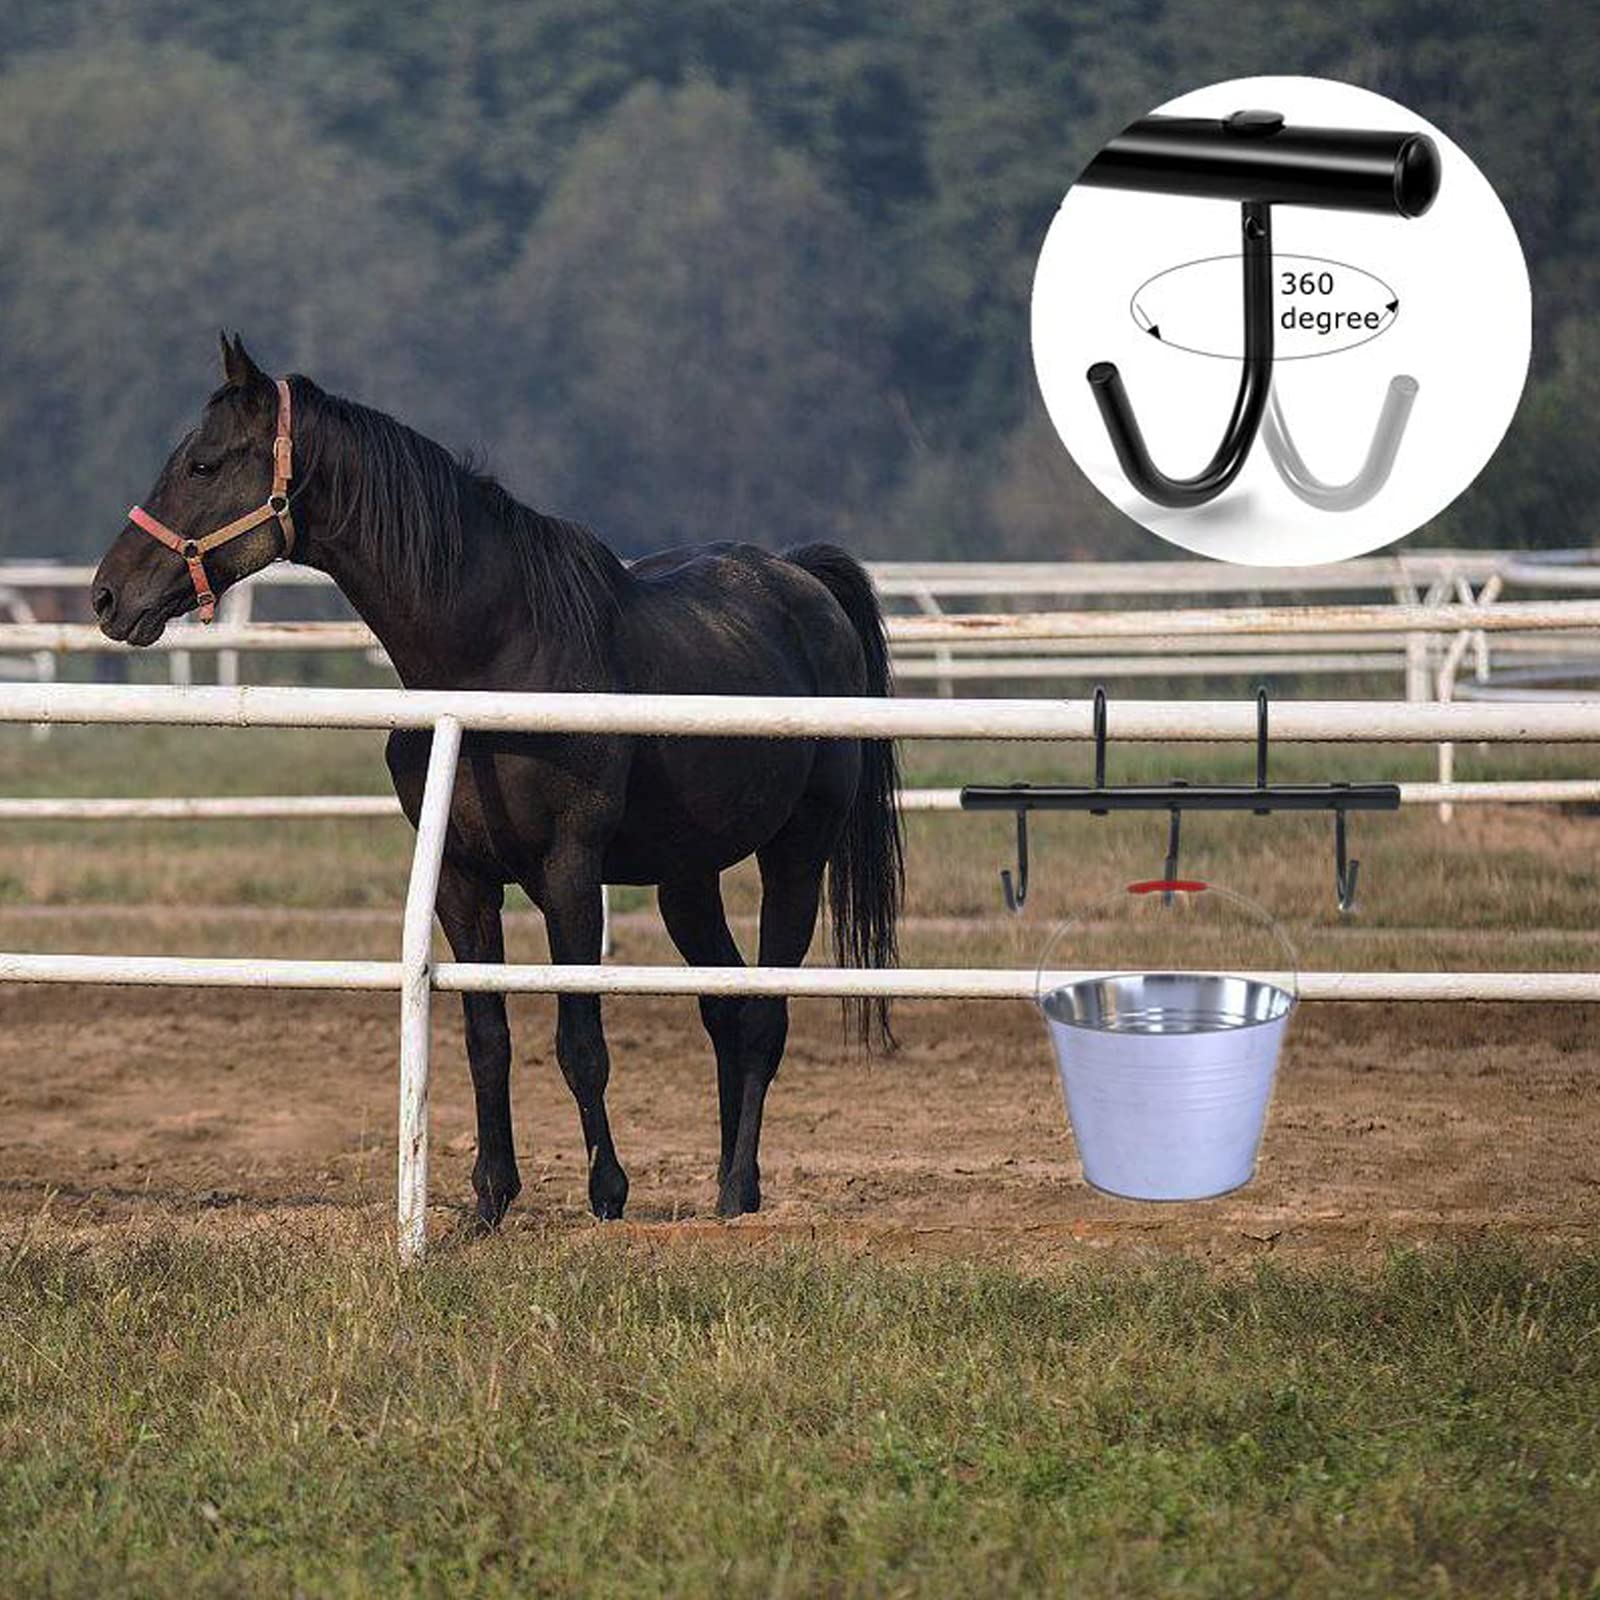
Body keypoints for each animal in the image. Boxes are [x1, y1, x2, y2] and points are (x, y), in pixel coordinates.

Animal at [91, 334, 902, 1227]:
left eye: (204, 464)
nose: (106, 596)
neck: (493, 661)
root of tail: (801, 580)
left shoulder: (570, 874)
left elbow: (580, 1042)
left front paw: (606, 1193)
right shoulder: (460, 878)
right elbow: (488, 1038)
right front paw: (489, 1198)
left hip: (797, 854)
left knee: (764, 1015)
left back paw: (735, 1192)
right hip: (685, 878)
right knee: (725, 1009)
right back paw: (734, 1186)